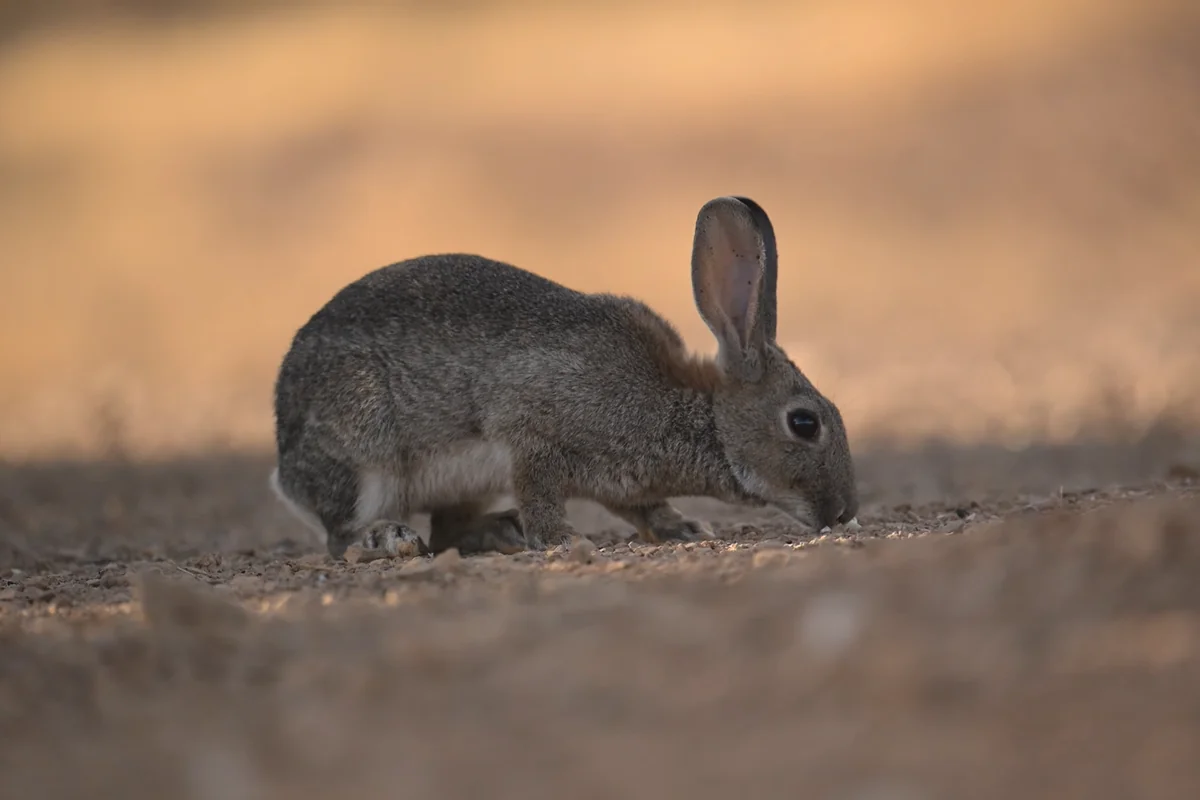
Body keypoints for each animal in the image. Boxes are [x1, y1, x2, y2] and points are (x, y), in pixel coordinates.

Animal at [270, 195, 858, 560]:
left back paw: (499, 531)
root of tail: (285, 463)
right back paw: (392, 539)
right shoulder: (532, 434)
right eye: (804, 423)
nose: (845, 511)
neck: (696, 414)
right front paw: (560, 541)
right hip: (365, 449)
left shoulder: (620, 481)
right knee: (341, 534)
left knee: (448, 529)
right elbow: (541, 490)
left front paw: (684, 528)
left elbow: (643, 506)